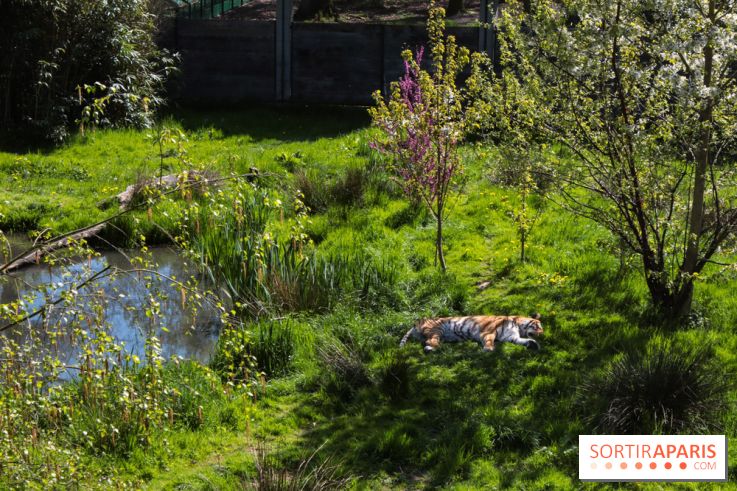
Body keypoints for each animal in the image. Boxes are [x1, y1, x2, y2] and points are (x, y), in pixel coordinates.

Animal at [399, 314, 543, 353]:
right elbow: (489, 341)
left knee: (427, 342)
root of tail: (417, 322)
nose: (542, 334)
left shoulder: (511, 337)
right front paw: (488, 349)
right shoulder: (489, 332)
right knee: (430, 341)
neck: (518, 327)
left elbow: (523, 341)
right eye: (537, 326)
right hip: (437, 329)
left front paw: (534, 344)